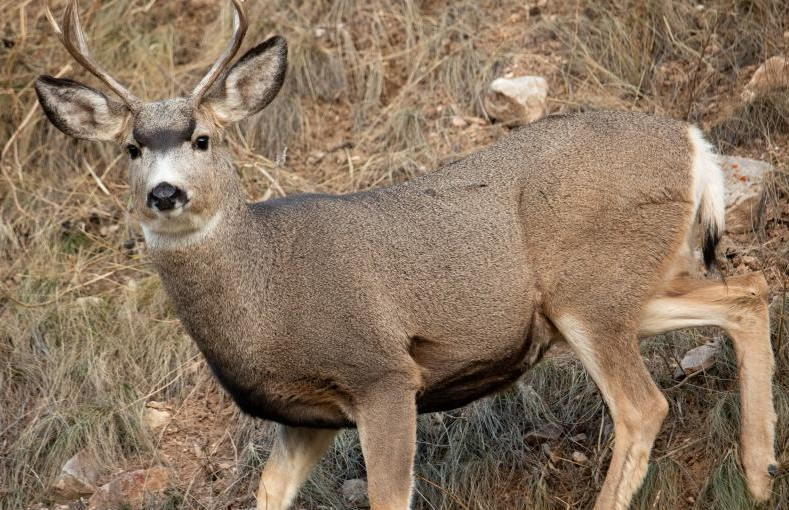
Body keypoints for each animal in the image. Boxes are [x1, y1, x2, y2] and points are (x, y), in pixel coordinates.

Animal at [34, 1, 778, 509]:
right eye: (131, 147)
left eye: (202, 139)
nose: (164, 192)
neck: (267, 286)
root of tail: (693, 143)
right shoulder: (305, 416)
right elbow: (268, 494)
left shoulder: (382, 373)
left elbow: (388, 495)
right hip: (624, 288)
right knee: (748, 294)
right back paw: (759, 475)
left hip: (590, 290)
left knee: (643, 406)